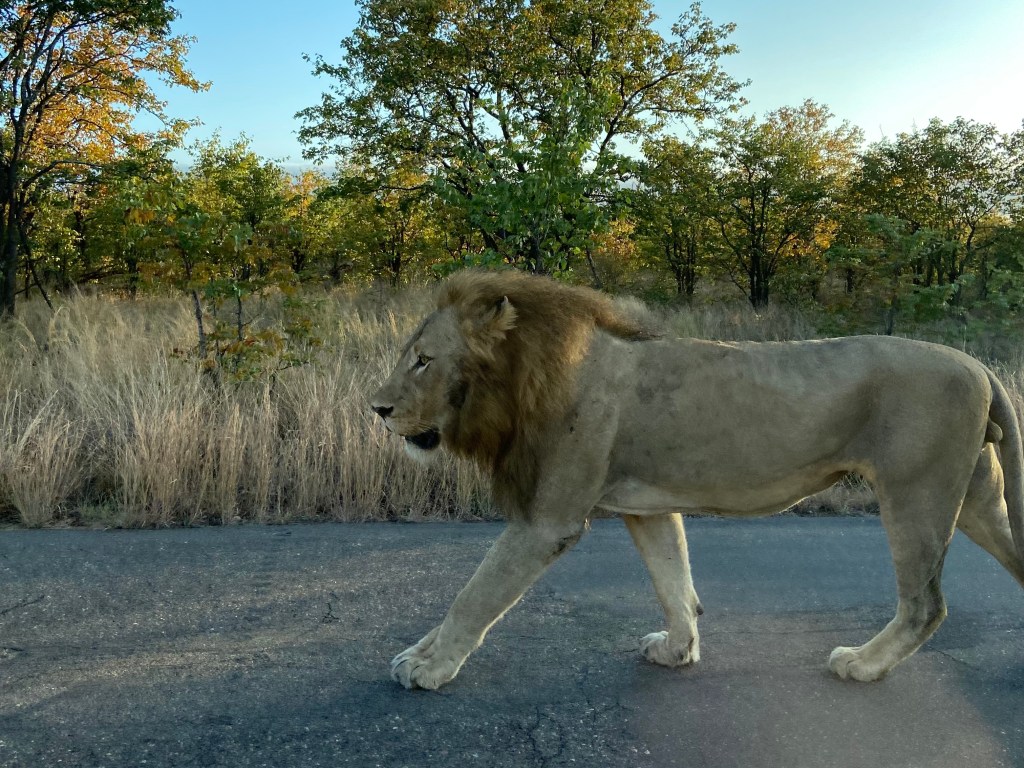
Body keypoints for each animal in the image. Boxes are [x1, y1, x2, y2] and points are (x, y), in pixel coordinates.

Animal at [370, 269, 1024, 690]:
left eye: (423, 360)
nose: (376, 408)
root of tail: (979, 366)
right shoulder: (648, 506)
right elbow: (674, 581)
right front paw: (677, 650)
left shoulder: (547, 521)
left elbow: (475, 594)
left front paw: (428, 667)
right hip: (977, 501)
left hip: (916, 494)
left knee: (925, 605)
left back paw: (862, 664)